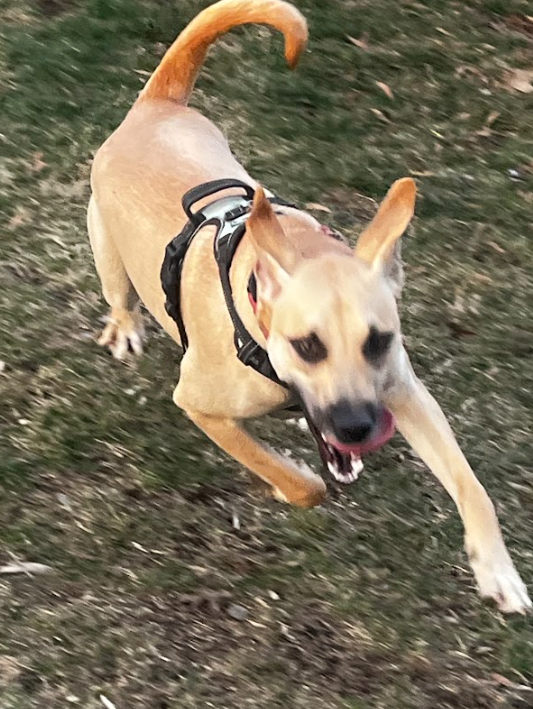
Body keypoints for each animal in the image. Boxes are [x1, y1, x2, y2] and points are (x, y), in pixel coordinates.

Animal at [87, 0, 531, 613]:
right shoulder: (199, 403)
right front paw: (291, 474)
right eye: (307, 346)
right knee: (119, 295)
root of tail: (157, 105)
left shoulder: (402, 391)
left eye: (379, 341)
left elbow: (472, 484)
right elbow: (302, 483)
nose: (357, 427)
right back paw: (126, 325)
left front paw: (498, 571)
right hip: (107, 249)